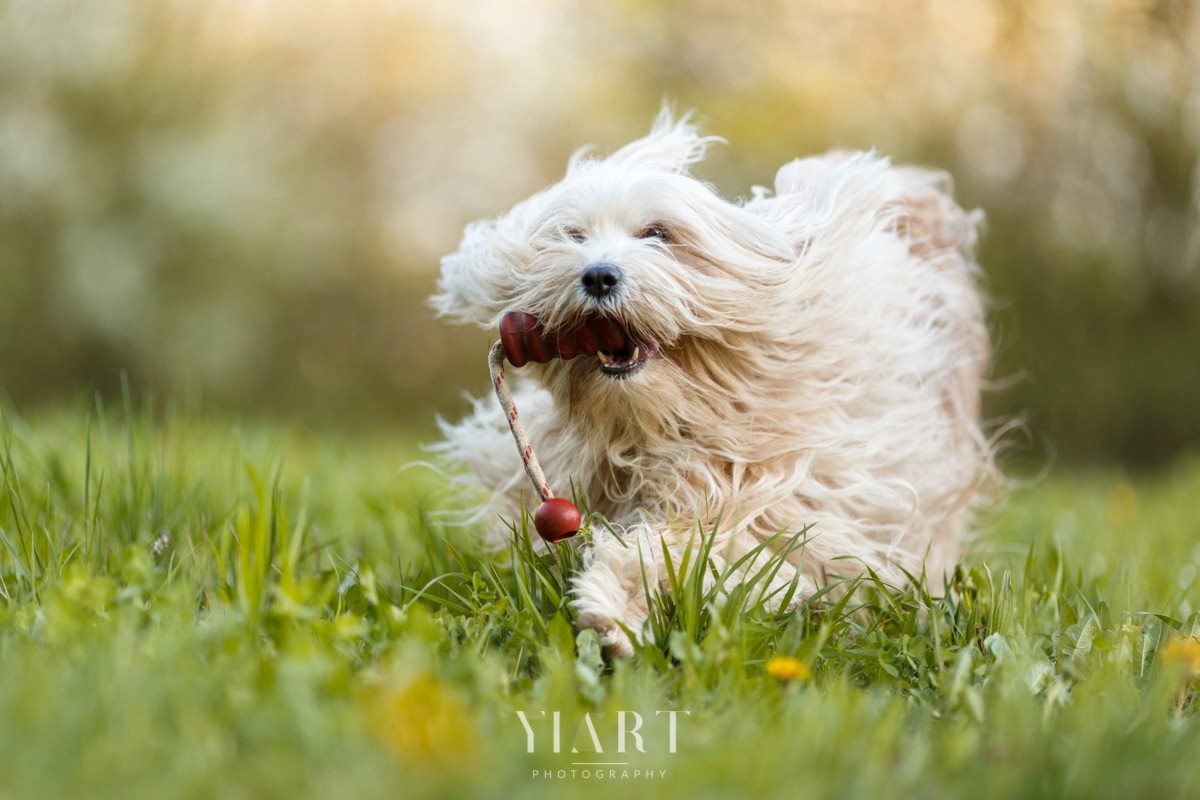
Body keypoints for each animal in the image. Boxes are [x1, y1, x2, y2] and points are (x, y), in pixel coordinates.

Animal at [432, 109, 993, 657]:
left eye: (658, 234)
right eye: (573, 237)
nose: (597, 275)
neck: (667, 422)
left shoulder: (789, 491)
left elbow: (701, 543)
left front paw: (617, 604)